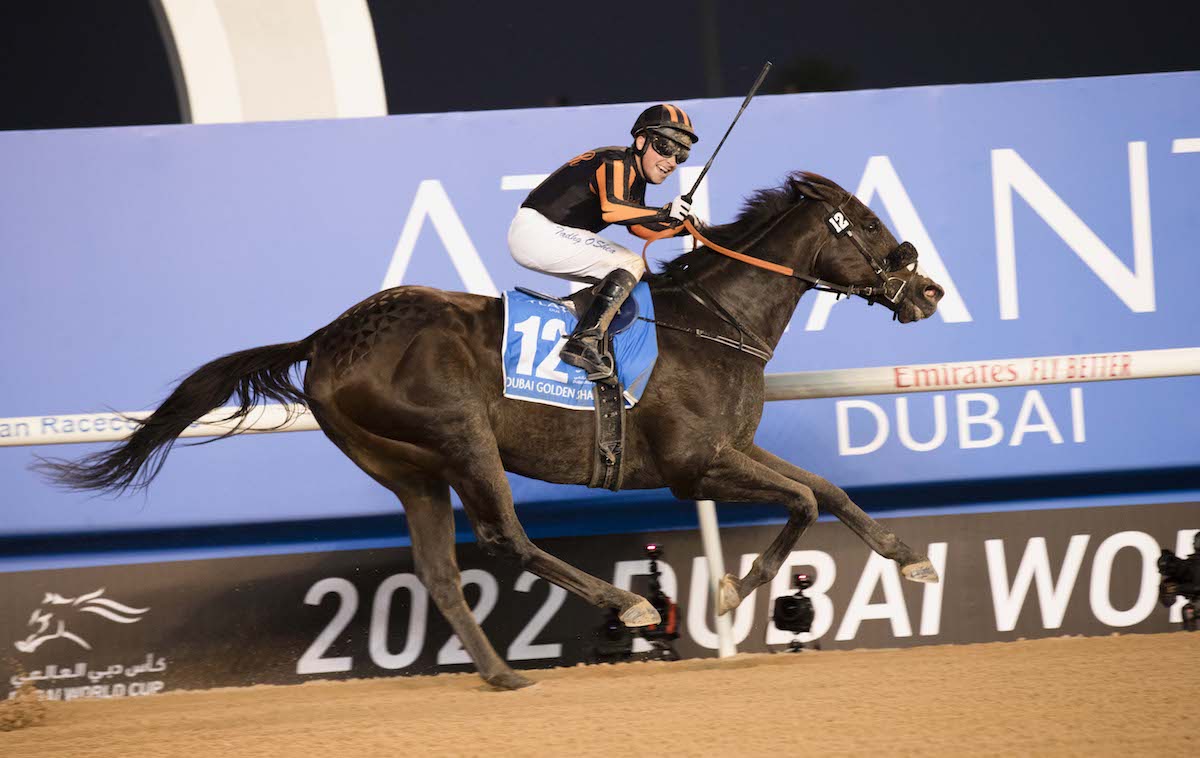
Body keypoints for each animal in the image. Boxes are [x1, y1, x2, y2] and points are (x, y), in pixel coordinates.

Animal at [39, 170, 945, 686]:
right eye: (866, 225)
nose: (930, 289)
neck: (713, 322)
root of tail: (324, 339)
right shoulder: (695, 463)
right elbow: (802, 501)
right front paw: (728, 594)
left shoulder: (735, 444)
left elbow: (826, 490)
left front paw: (911, 559)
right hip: (461, 436)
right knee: (505, 537)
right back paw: (628, 606)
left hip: (408, 468)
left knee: (441, 571)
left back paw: (504, 676)